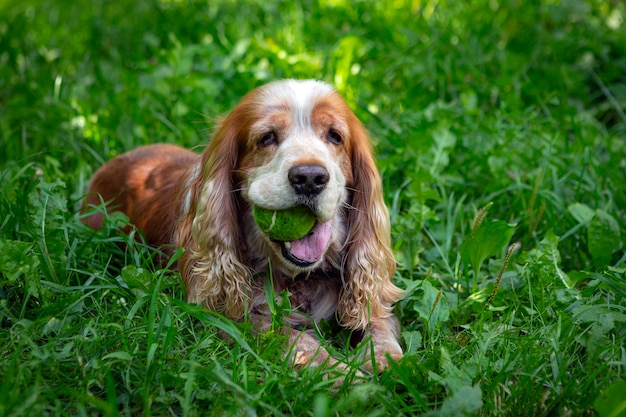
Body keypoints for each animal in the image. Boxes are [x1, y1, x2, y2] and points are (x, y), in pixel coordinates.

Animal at [83, 79, 402, 370]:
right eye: (267, 138)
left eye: (335, 136)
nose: (310, 177)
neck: (298, 279)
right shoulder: (231, 317)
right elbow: (295, 340)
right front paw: (342, 374)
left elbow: (379, 326)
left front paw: (389, 365)